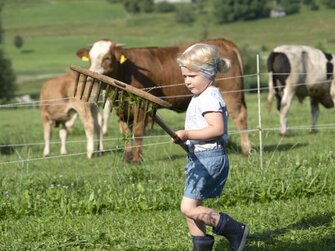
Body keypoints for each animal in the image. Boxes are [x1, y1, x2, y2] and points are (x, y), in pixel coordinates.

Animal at [77, 38, 251, 162]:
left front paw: (137, 159)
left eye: (107, 57)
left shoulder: (141, 105)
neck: (126, 70)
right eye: (90, 58)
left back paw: (246, 150)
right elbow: (125, 131)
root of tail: (224, 41)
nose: (92, 75)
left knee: (240, 117)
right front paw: (127, 158)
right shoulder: (121, 107)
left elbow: (138, 132)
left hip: (232, 93)